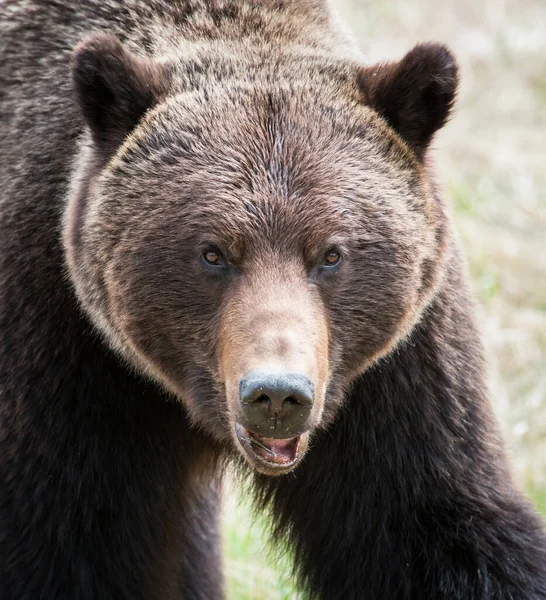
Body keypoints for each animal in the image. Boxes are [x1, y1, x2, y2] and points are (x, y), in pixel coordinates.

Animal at [1, 0, 544, 596]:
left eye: (331, 253)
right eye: (213, 253)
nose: (278, 393)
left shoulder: (394, 377)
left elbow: (440, 524)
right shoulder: (61, 351)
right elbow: (60, 544)